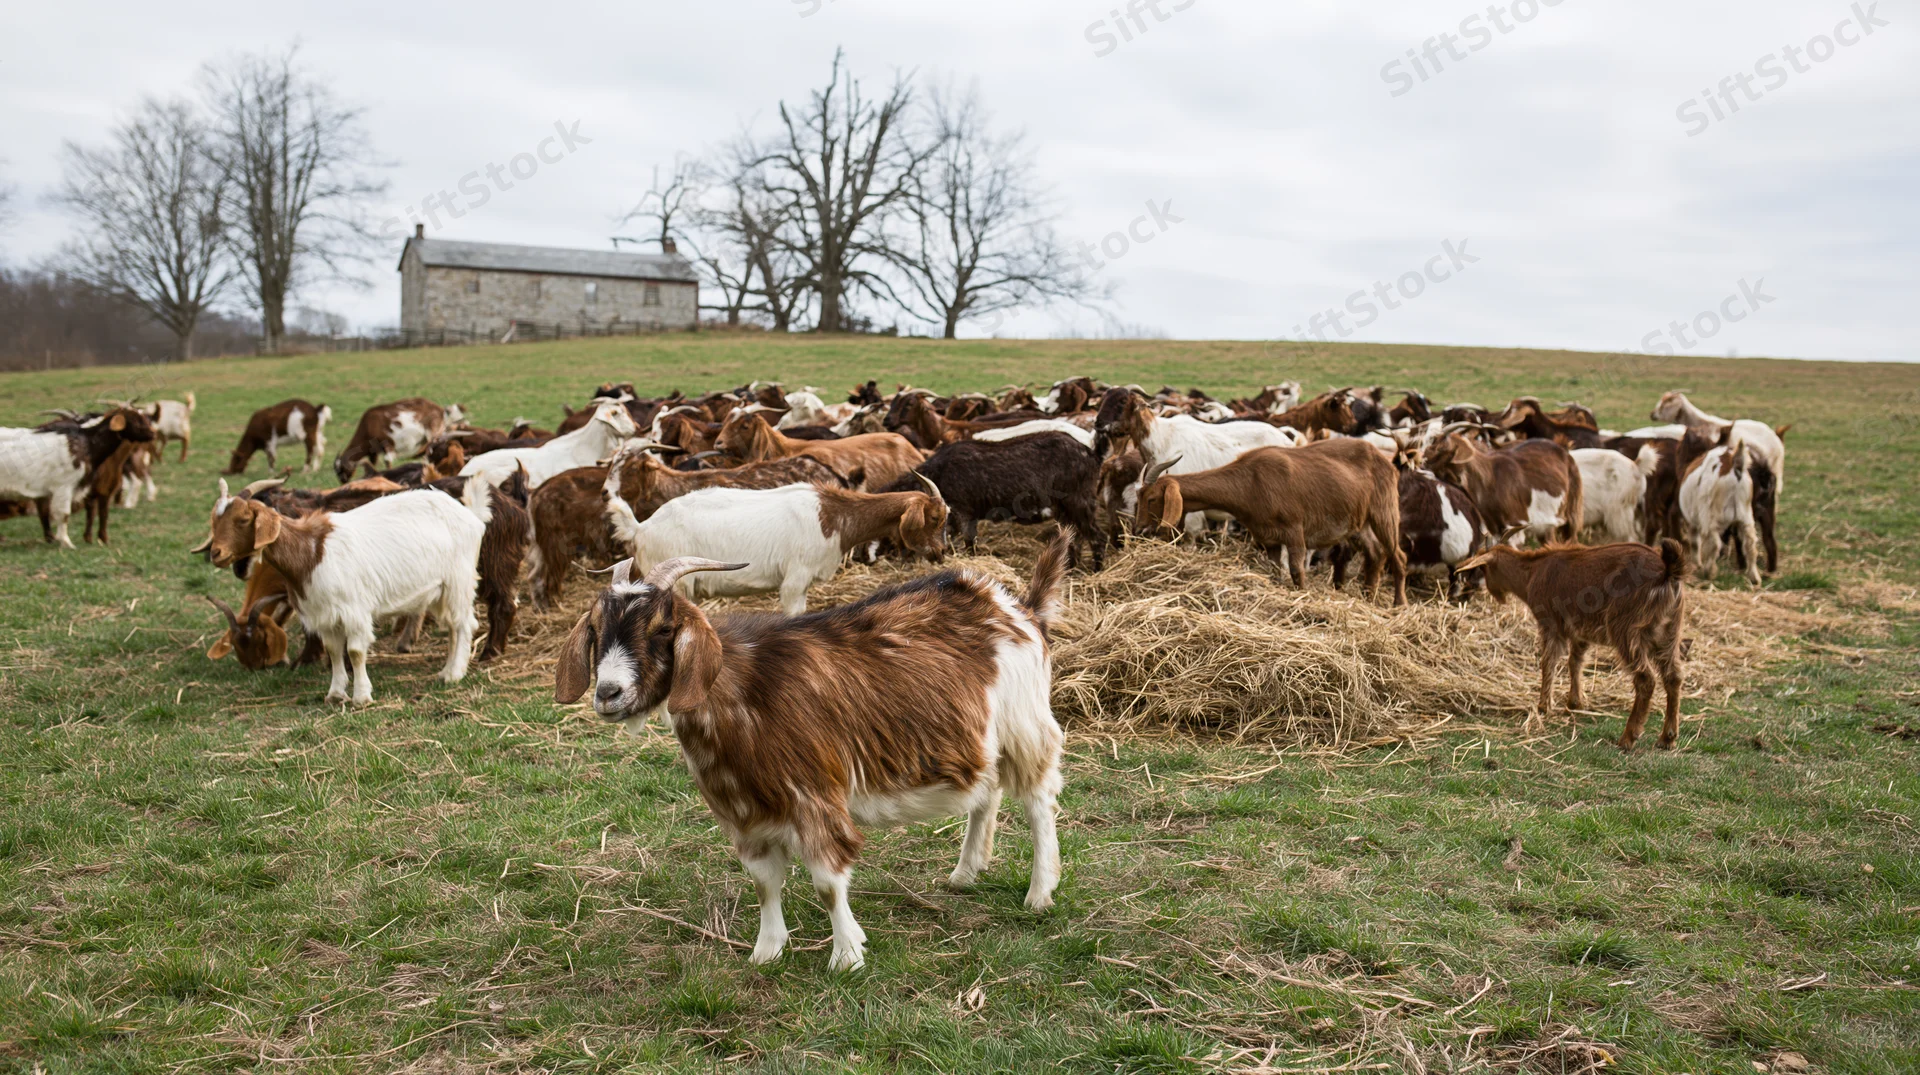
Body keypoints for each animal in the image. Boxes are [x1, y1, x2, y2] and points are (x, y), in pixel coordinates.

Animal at [201, 478, 489, 705]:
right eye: (215, 519)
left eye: (243, 519)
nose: (216, 554)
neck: (311, 553)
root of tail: (472, 517)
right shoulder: (323, 614)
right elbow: (332, 650)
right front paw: (335, 694)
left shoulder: (355, 610)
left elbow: (355, 652)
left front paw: (361, 697)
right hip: (441, 590)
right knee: (453, 626)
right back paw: (446, 671)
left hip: (459, 580)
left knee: (464, 624)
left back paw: (454, 674)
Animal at [554, 530, 1071, 971]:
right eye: (596, 629)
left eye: (663, 629)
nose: (608, 694)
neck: (743, 695)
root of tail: (1019, 608)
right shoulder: (745, 813)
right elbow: (764, 882)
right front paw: (766, 951)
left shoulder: (814, 797)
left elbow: (826, 882)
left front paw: (846, 956)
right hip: (981, 736)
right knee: (988, 791)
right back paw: (965, 872)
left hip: (1024, 725)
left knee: (1038, 800)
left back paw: (1040, 892)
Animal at [1135, 438, 1408, 604]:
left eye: (1151, 498)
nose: (1140, 529)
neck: (1250, 482)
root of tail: (1387, 460)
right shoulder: (1270, 539)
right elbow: (1276, 571)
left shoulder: (1295, 532)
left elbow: (1297, 571)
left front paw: (1301, 597)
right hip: (1358, 524)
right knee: (1375, 554)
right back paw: (1368, 596)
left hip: (1384, 512)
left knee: (1398, 555)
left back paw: (1399, 604)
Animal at [1457, 540, 1688, 750]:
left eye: (1483, 568)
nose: (1493, 594)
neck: (1532, 572)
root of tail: (1667, 573)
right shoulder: (1581, 632)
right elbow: (1575, 661)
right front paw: (1574, 703)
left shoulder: (1550, 624)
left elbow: (1548, 662)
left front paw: (1543, 707)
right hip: (1668, 633)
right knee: (1673, 676)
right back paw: (1667, 738)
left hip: (1626, 630)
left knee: (1645, 679)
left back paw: (1628, 738)